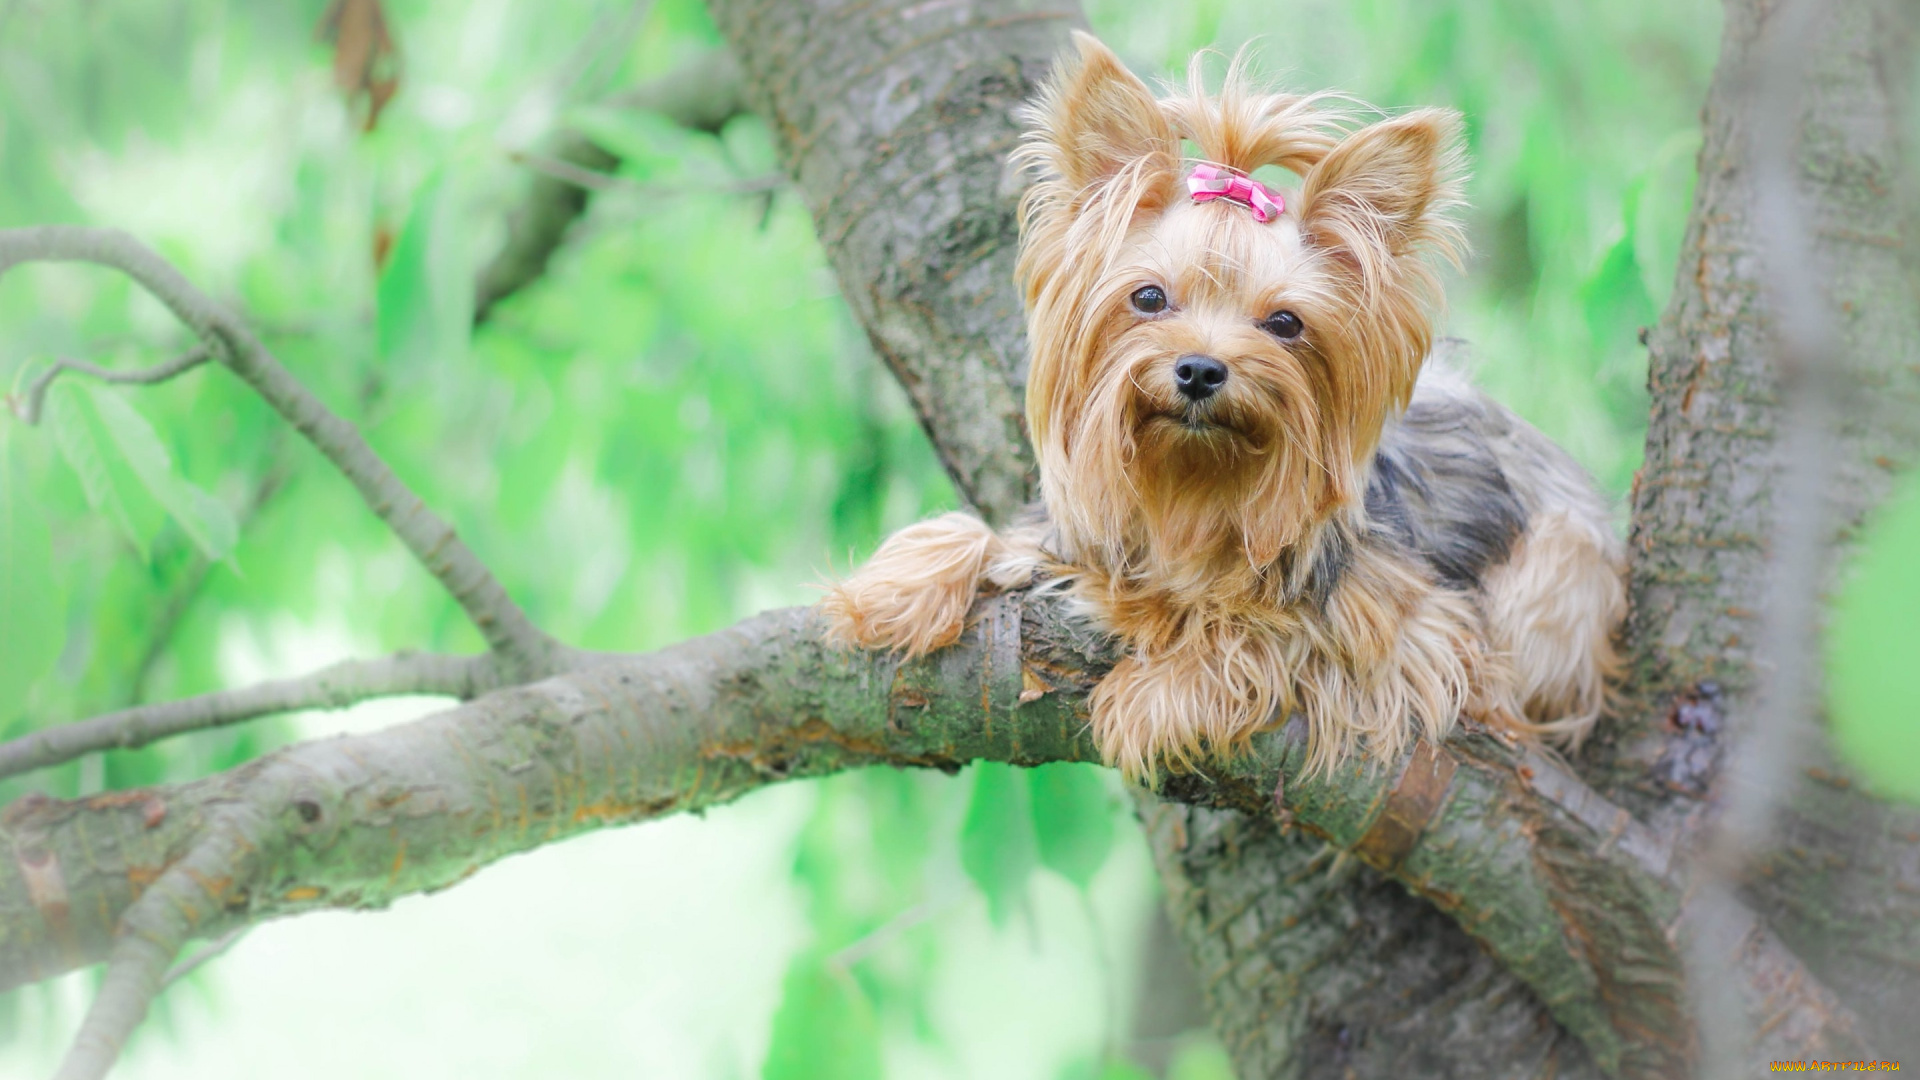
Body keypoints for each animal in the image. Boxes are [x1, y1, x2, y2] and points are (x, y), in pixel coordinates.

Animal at [821, 29, 1620, 776]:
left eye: (1286, 323)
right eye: (1148, 298)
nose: (1201, 370)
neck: (1194, 488)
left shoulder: (1415, 632)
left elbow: (1275, 631)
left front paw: (1157, 693)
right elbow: (993, 538)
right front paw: (897, 588)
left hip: (1563, 570)